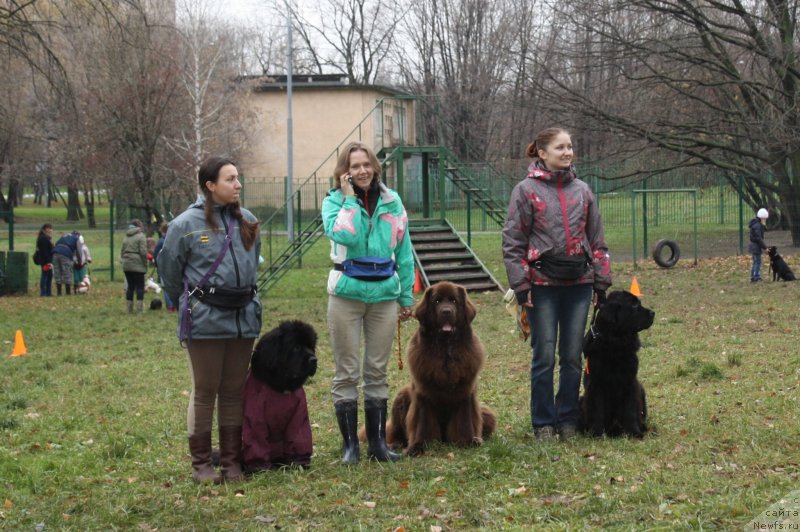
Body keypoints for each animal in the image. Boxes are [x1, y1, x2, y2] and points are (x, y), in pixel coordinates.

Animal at [241, 318, 318, 472]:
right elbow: (256, 440)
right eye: (296, 347)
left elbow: (299, 437)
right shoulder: (255, 416)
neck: (281, 388)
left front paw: (299, 463)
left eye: (311, 347)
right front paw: (259, 468)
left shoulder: (298, 415)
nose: (314, 359)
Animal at [386, 280, 494, 456]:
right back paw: (394, 445)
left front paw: (468, 441)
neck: (445, 351)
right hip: (401, 398)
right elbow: (422, 423)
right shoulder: (423, 393)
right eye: (436, 301)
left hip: (488, 414)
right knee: (393, 430)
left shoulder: (465, 391)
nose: (446, 311)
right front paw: (418, 446)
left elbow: (465, 420)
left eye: (454, 301)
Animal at [580, 290, 656, 436]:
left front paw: (634, 432)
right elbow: (597, 410)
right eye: (634, 305)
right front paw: (596, 433)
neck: (616, 343)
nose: (653, 313)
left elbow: (630, 410)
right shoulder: (596, 385)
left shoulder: (630, 382)